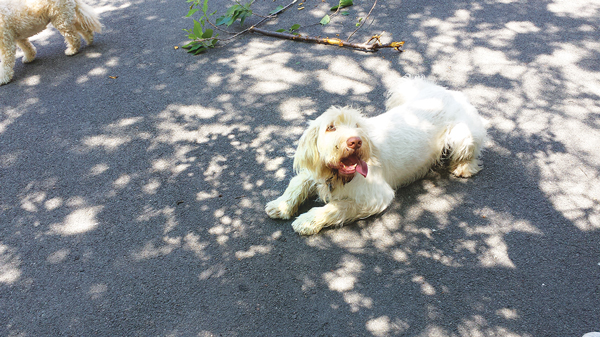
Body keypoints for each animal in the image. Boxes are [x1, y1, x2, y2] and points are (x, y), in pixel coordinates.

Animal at [266, 76, 488, 234]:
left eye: (357, 125)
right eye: (330, 127)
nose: (355, 141)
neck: (337, 176)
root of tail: (451, 93)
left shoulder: (375, 197)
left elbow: (336, 206)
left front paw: (307, 220)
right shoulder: (315, 173)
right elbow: (297, 183)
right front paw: (281, 204)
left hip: (461, 135)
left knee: (471, 152)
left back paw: (464, 167)